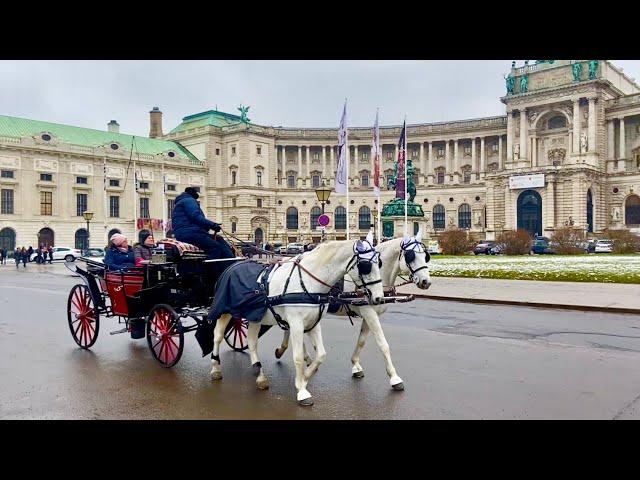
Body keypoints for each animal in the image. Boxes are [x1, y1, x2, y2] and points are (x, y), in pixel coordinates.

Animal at [209, 236, 384, 404]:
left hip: (254, 316)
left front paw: (304, 378)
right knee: (217, 336)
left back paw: (260, 376)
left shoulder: (314, 323)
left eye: (379, 263)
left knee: (251, 341)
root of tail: (232, 266)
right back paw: (216, 369)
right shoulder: (296, 324)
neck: (307, 282)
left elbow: (321, 354)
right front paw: (302, 390)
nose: (379, 298)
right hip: (225, 312)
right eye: (365, 266)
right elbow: (298, 357)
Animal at [274, 229, 430, 390]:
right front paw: (394, 377)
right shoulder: (369, 313)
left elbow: (361, 341)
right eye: (410, 256)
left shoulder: (369, 315)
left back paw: (290, 352)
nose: (426, 281)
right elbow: (383, 344)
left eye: (426, 256)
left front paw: (355, 365)